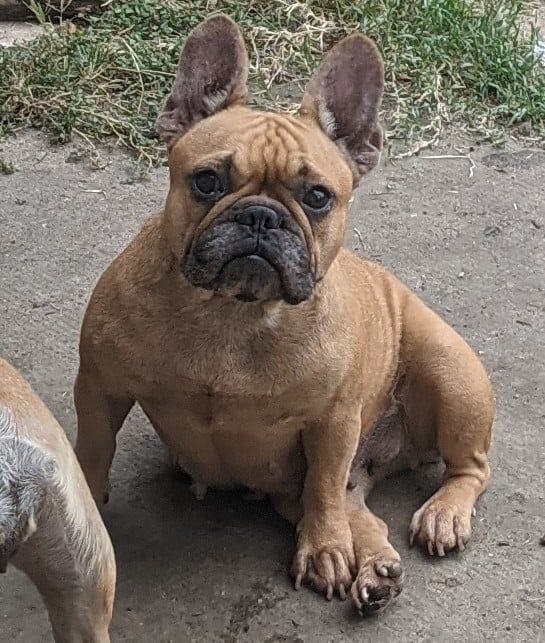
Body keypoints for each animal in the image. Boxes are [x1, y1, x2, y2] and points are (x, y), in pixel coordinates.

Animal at [74, 15, 494, 614]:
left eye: (317, 196)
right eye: (207, 181)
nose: (260, 217)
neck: (234, 314)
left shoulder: (333, 421)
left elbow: (323, 486)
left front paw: (323, 550)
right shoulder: (100, 386)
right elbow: (91, 450)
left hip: (450, 373)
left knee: (464, 469)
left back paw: (441, 515)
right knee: (357, 510)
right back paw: (376, 571)